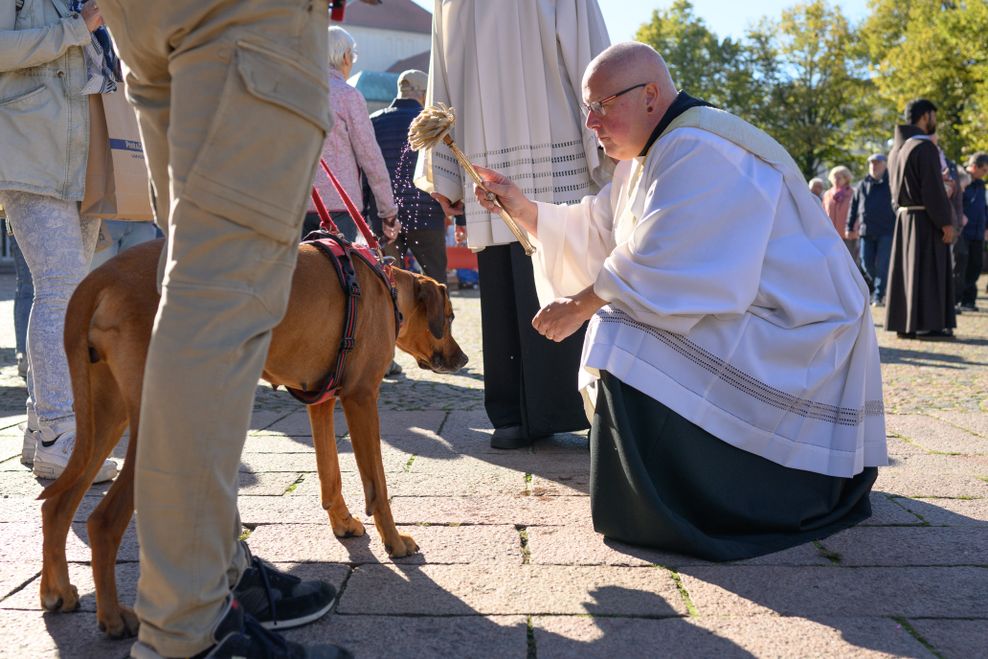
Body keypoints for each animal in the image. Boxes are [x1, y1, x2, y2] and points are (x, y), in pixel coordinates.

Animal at [37, 238, 466, 640]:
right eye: (449, 317)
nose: (463, 360)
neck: (384, 285)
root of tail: (99, 277)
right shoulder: (362, 398)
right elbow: (377, 485)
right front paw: (395, 543)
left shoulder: (321, 401)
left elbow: (330, 475)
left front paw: (343, 522)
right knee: (102, 521)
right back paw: (112, 617)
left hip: (105, 414)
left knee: (57, 505)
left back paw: (57, 592)